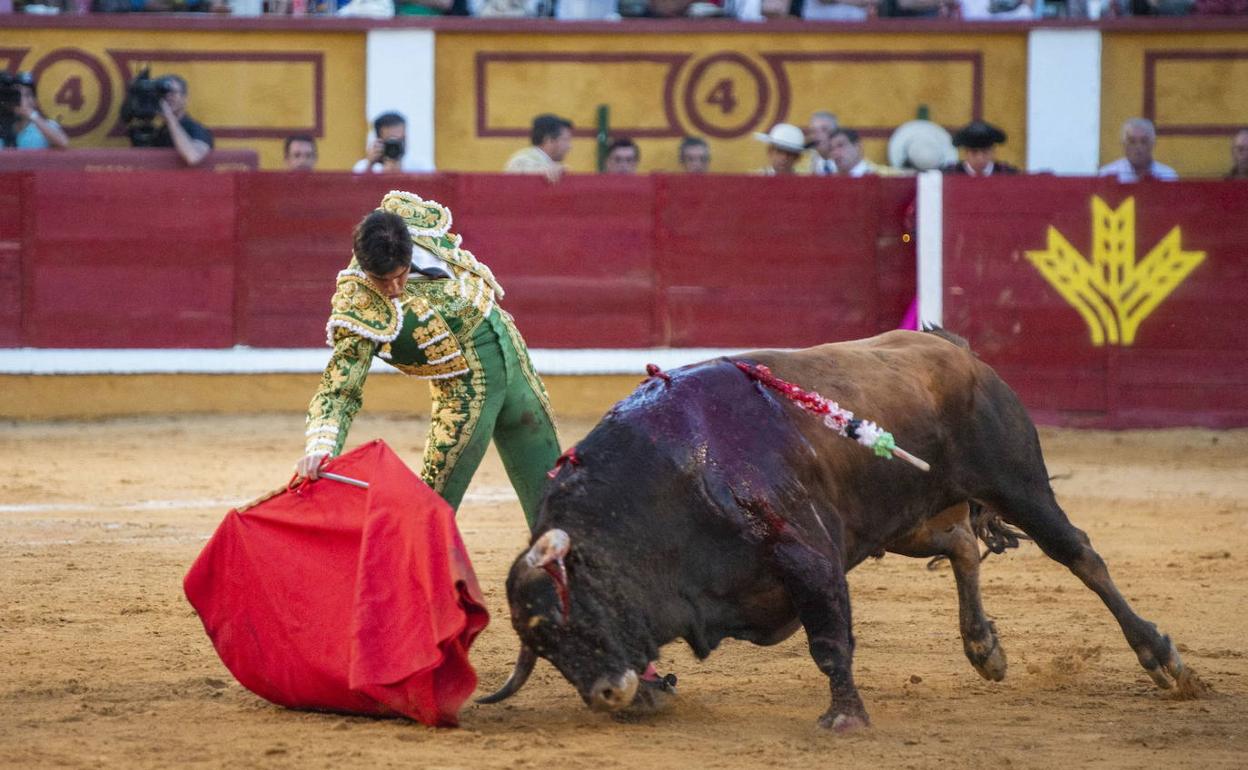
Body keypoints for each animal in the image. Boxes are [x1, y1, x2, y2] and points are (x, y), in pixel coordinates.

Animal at [476, 326, 1198, 728]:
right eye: (541, 644)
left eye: (574, 610)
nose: (605, 694)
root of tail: (953, 351)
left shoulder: (810, 558)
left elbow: (830, 641)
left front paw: (844, 718)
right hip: (901, 521)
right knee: (962, 544)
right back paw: (983, 648)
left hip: (1016, 482)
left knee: (1079, 555)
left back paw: (1165, 662)